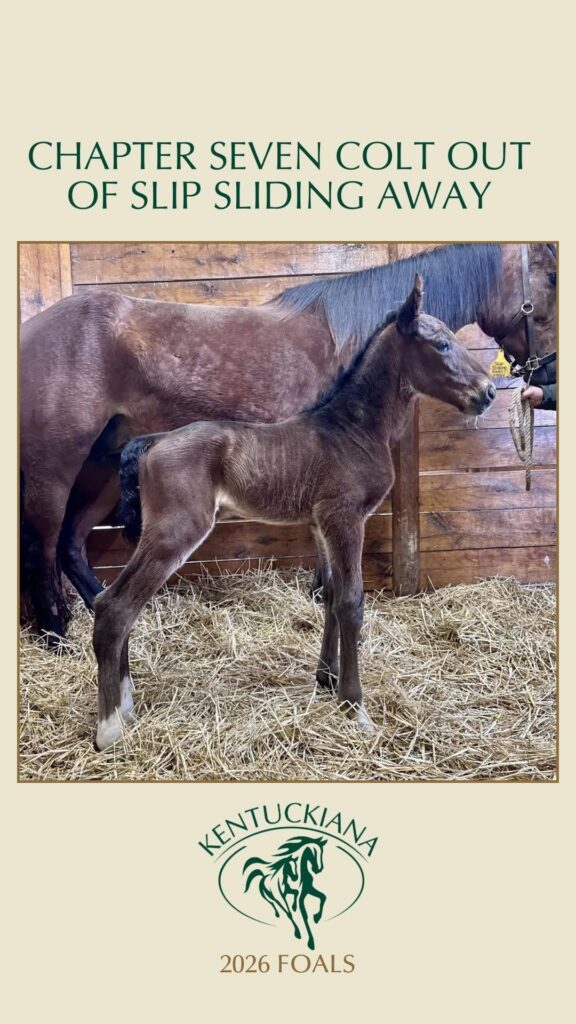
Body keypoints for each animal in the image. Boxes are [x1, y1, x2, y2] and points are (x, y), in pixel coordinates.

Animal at [20, 242, 556, 640]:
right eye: (550, 278)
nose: (544, 373)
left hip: (102, 467)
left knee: (70, 545)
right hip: (55, 467)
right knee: (41, 542)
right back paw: (55, 631)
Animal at [91, 274, 496, 750]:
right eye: (442, 344)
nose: (488, 393)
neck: (353, 429)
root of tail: (152, 441)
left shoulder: (322, 524)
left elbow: (331, 596)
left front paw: (327, 677)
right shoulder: (346, 518)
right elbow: (352, 603)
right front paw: (354, 705)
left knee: (118, 605)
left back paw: (126, 704)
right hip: (177, 530)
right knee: (115, 607)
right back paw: (109, 727)